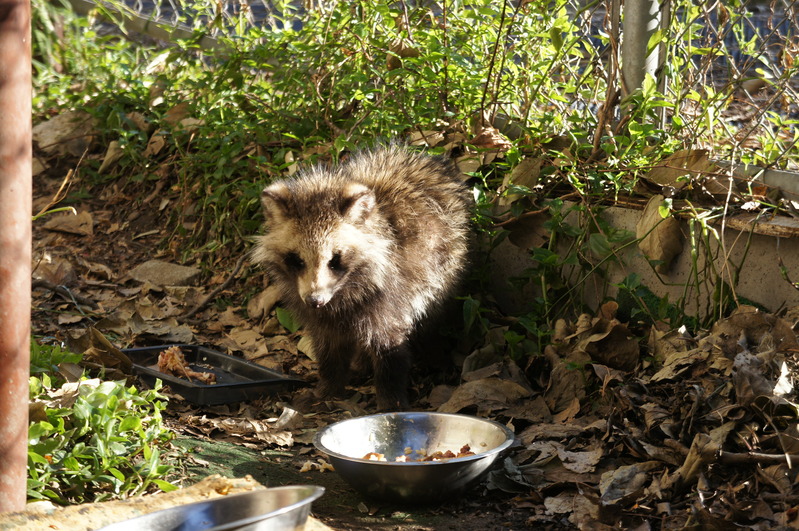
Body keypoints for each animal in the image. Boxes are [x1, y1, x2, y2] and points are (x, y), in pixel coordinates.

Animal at [253, 147, 472, 412]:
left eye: (334, 259)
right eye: (297, 260)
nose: (315, 300)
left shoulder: (393, 292)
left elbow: (389, 346)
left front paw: (390, 399)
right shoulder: (315, 309)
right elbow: (329, 344)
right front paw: (327, 386)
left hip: (447, 263)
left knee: (433, 314)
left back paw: (434, 353)